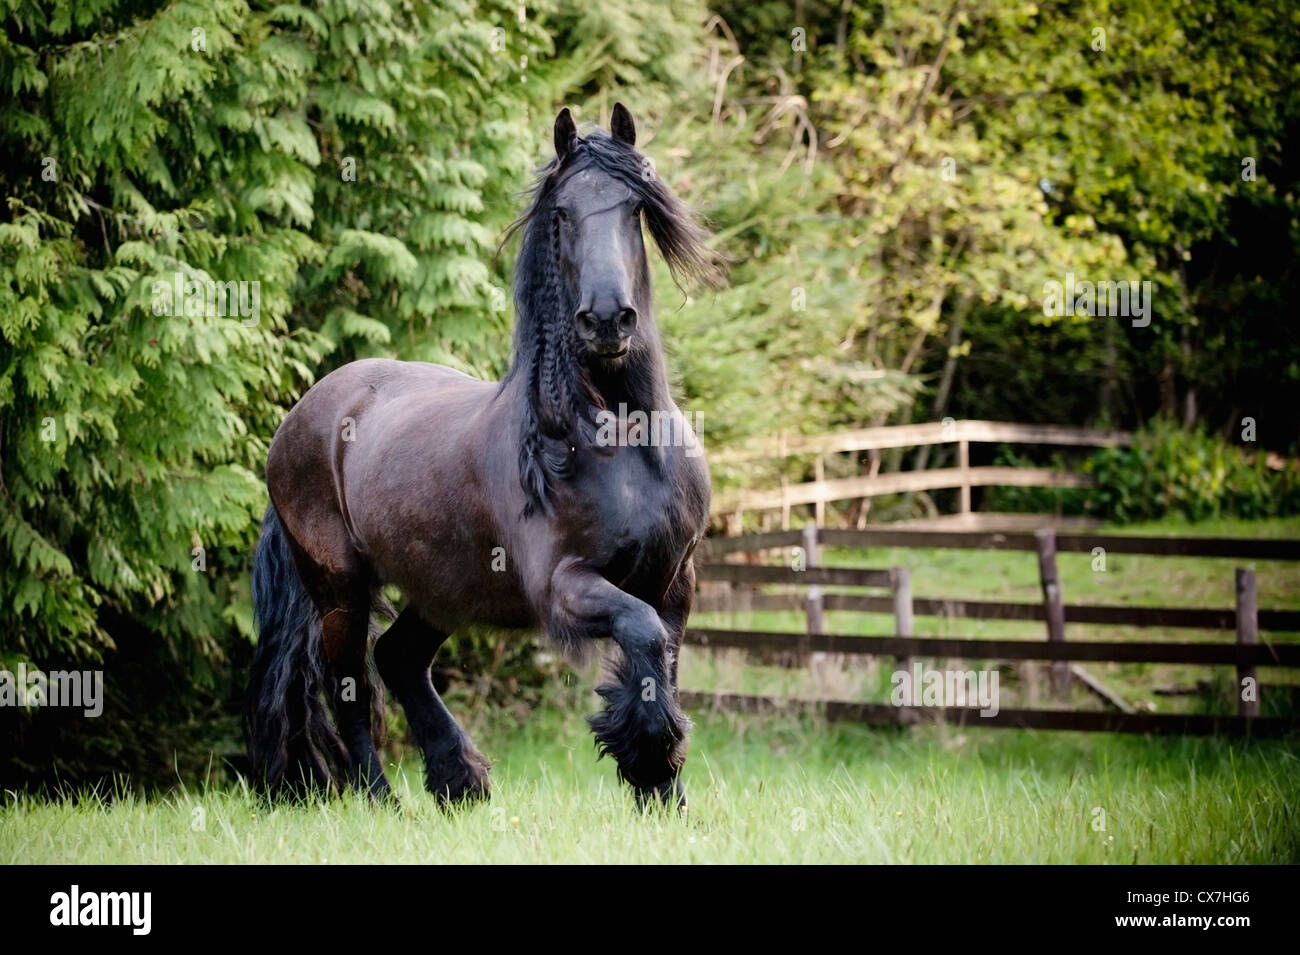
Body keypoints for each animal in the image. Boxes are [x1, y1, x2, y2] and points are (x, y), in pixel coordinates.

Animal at [245, 104, 725, 810]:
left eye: (635, 207)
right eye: (561, 213)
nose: (607, 320)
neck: (622, 442)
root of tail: (302, 414)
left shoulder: (675, 580)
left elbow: (659, 662)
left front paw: (664, 792)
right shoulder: (566, 586)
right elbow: (640, 634)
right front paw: (647, 758)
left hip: (442, 589)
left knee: (399, 658)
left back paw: (458, 779)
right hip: (340, 590)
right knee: (350, 687)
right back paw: (384, 802)